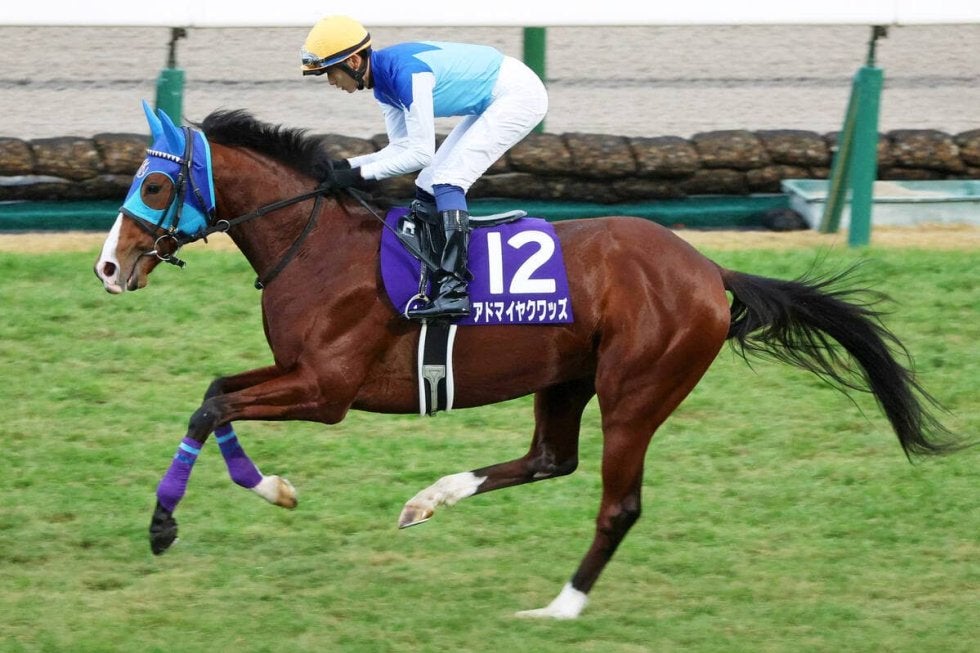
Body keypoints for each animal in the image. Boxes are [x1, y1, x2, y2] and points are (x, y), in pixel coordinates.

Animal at [93, 104, 958, 619]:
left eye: (157, 183)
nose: (107, 267)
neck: (319, 246)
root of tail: (708, 268)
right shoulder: (299, 375)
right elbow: (214, 393)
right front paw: (266, 489)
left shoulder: (327, 388)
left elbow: (214, 403)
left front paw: (176, 521)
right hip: (567, 378)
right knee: (549, 457)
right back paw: (429, 499)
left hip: (637, 389)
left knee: (618, 503)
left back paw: (561, 607)